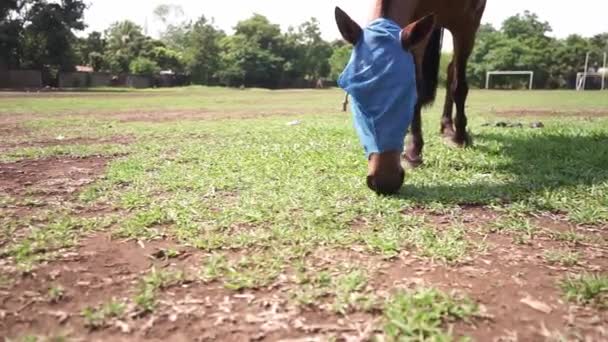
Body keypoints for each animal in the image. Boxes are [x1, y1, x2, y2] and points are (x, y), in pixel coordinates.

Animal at [334, 0, 486, 195]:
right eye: (355, 95)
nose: (385, 181)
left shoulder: (467, 23)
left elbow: (458, 86)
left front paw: (459, 138)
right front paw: (413, 150)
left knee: (452, 72)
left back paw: (451, 130)